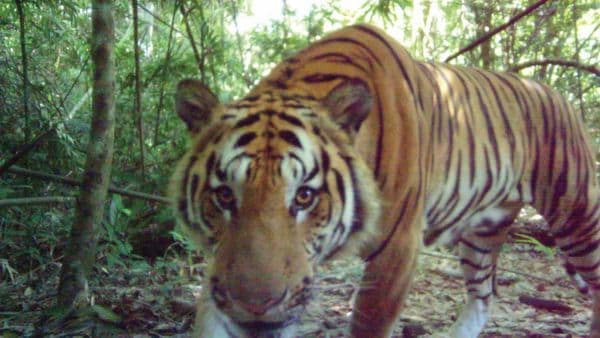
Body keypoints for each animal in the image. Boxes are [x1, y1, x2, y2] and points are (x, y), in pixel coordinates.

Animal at [170, 24, 600, 338]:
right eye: (225, 195)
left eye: (305, 197)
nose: (255, 307)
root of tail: (553, 91)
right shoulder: (221, 265)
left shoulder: (397, 249)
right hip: (482, 231)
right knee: (483, 296)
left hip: (577, 217)